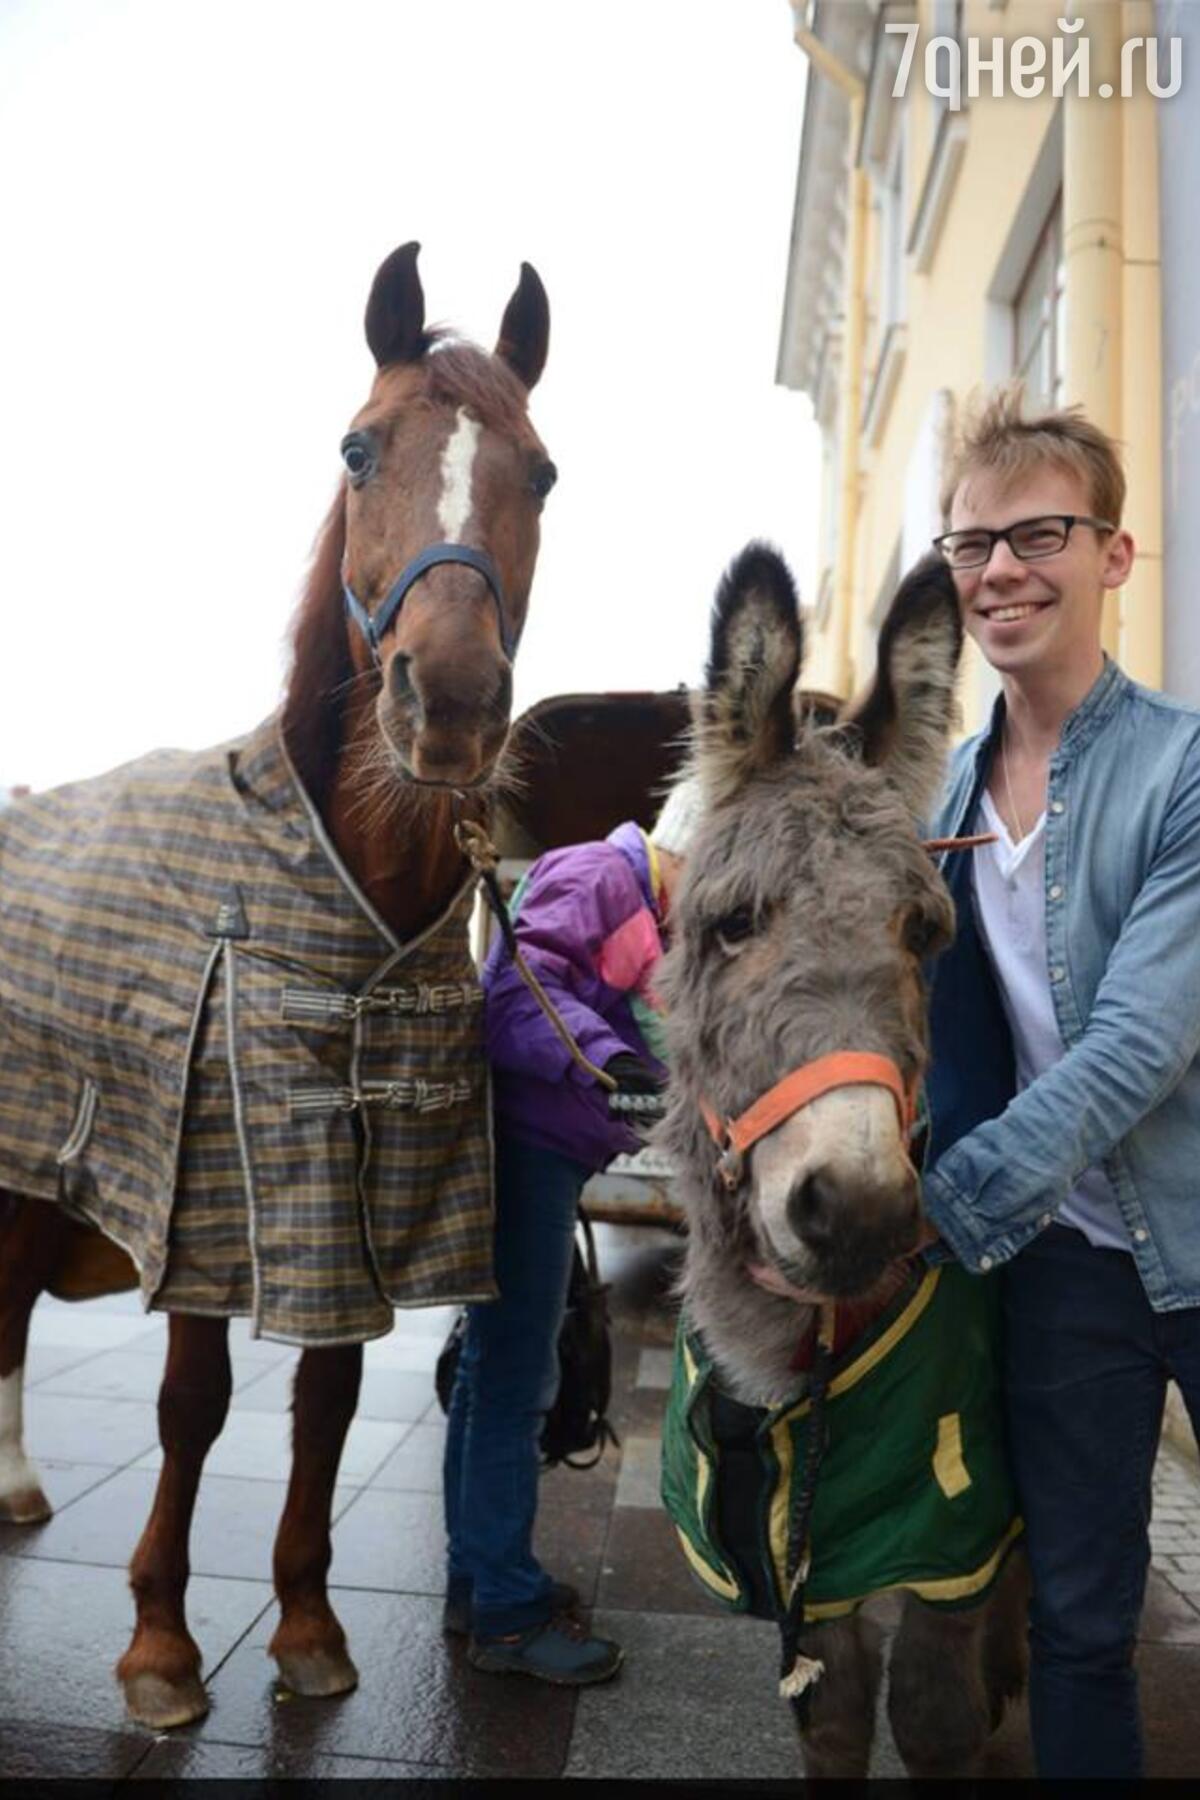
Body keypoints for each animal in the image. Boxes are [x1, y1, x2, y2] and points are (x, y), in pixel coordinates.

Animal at [0, 243, 554, 1728]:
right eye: (359, 450)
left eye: (541, 473)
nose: (450, 702)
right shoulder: (207, 1174)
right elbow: (193, 1404)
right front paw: (159, 1646)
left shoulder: (371, 1176)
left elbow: (330, 1395)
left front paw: (306, 1625)